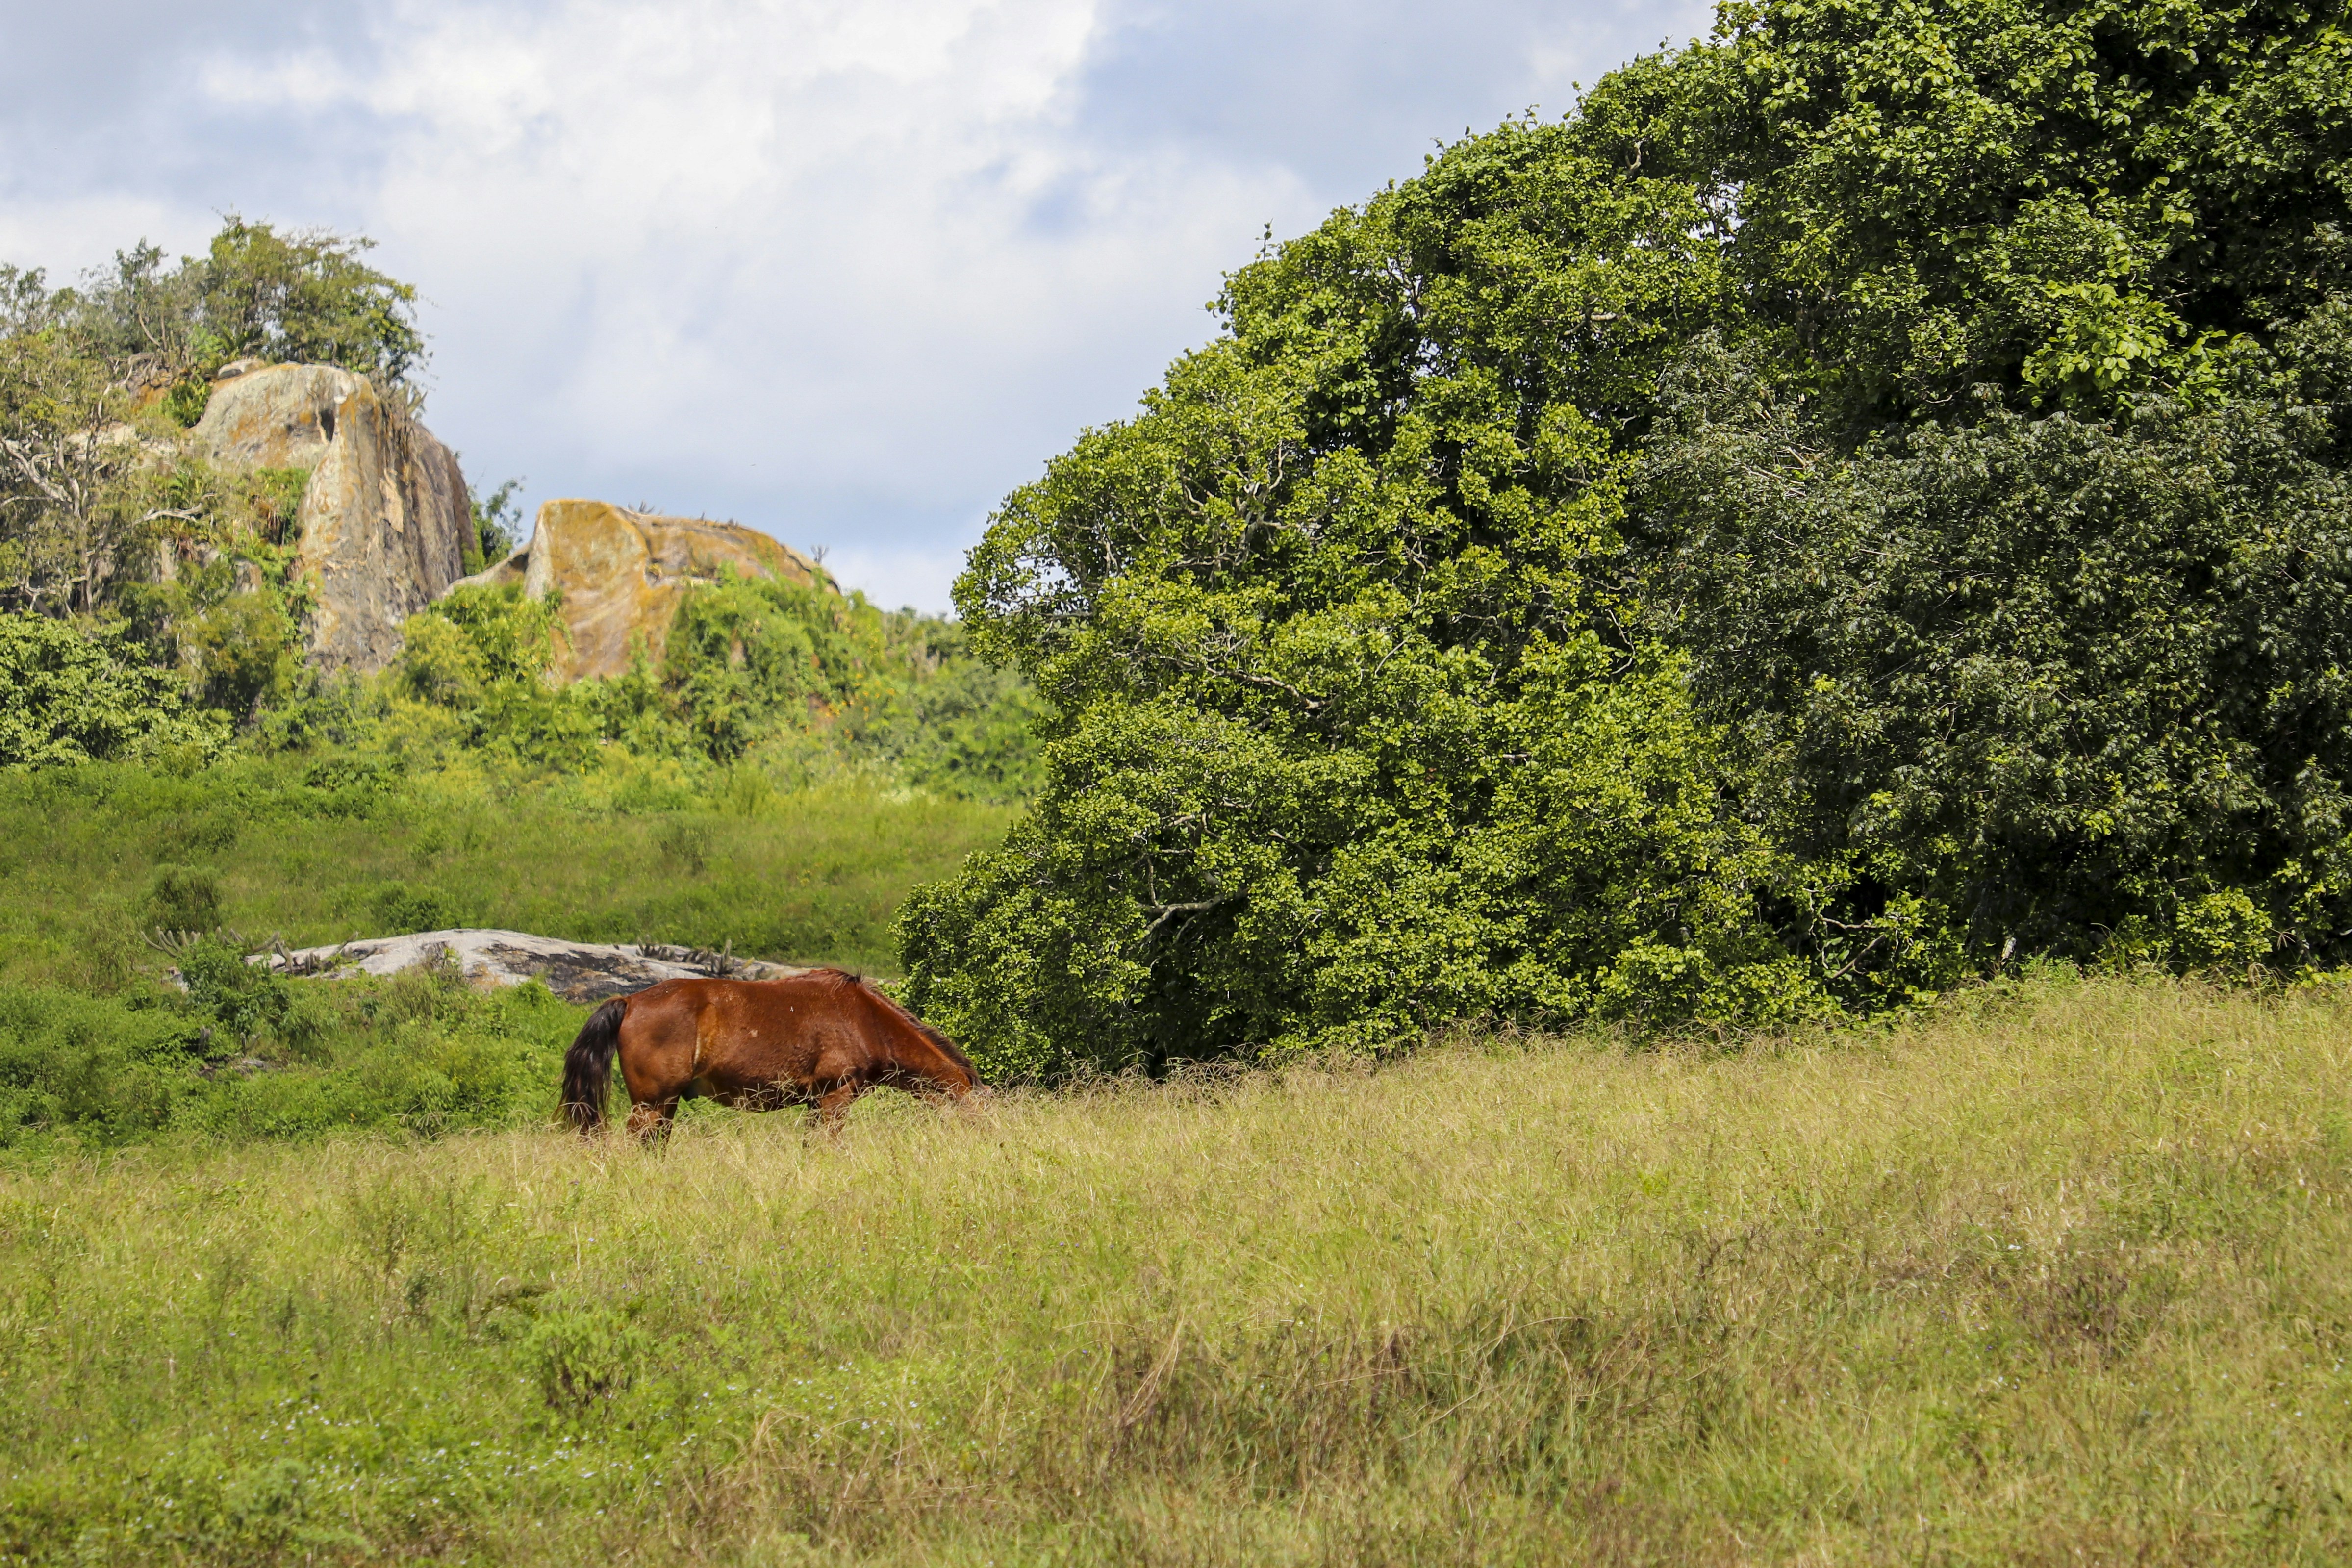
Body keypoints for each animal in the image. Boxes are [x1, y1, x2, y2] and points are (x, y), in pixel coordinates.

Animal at [559, 968, 979, 1139]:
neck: (865, 1020)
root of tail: (630, 1001)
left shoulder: (817, 1104)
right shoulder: (835, 1099)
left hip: (664, 1106)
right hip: (652, 1104)